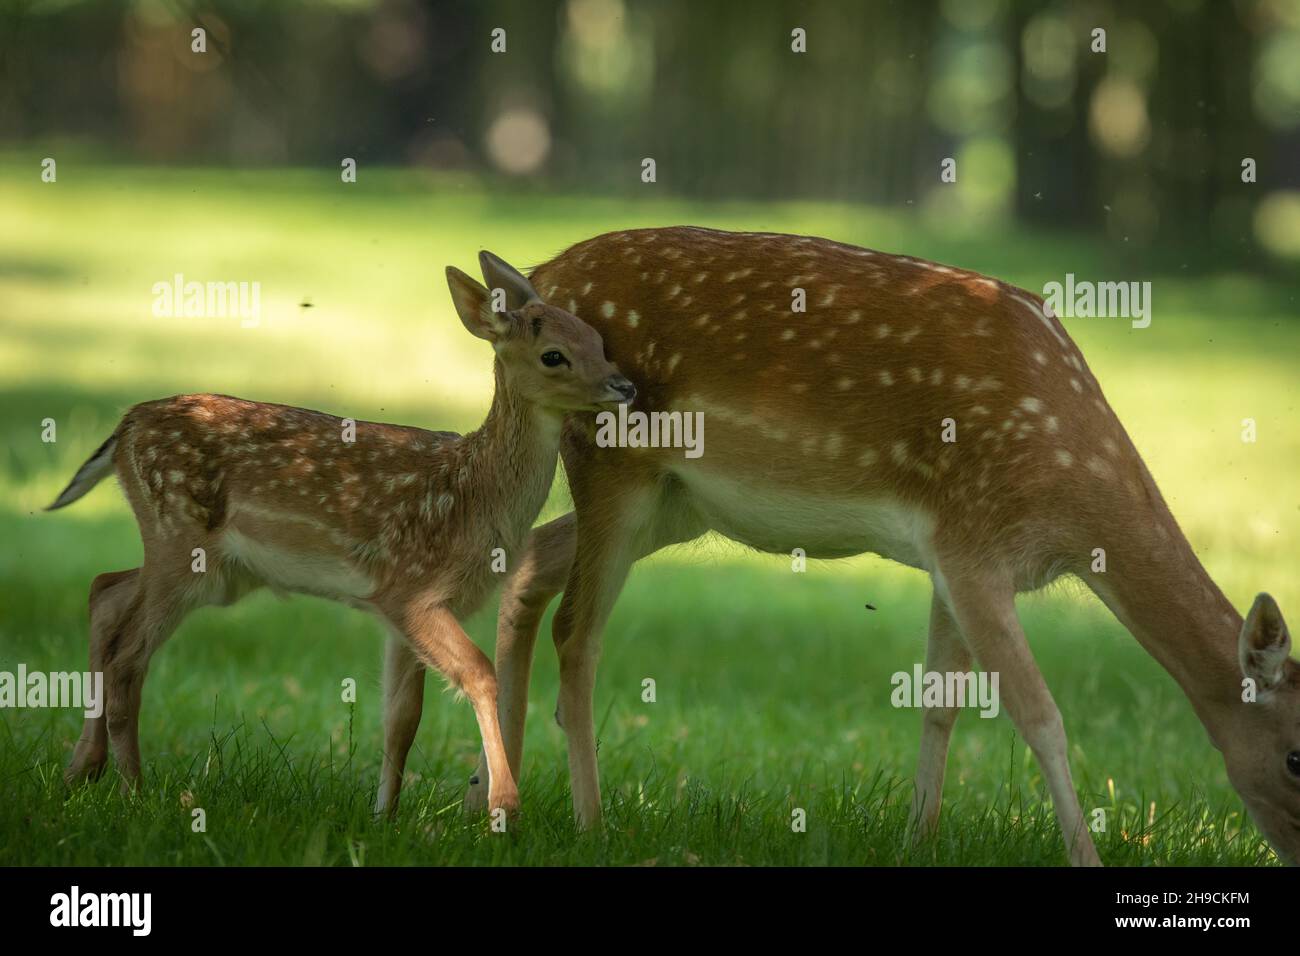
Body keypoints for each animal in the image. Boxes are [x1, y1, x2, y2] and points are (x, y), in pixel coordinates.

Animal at [49, 256, 634, 822]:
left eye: (596, 338)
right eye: (554, 355)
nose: (624, 385)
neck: (473, 495)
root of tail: (124, 428)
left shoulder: (398, 609)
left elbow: (402, 717)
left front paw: (384, 817)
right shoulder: (410, 589)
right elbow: (479, 674)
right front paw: (503, 805)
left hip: (212, 567)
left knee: (106, 591)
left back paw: (83, 769)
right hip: (181, 539)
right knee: (128, 652)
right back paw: (133, 791)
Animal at [467, 226, 1300, 868]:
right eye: (1295, 755)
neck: (1072, 491)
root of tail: (538, 278)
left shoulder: (950, 556)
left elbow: (941, 699)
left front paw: (918, 838)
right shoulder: (973, 543)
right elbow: (1039, 713)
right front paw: (1085, 858)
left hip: (675, 506)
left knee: (531, 565)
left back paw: (493, 802)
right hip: (614, 463)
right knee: (578, 630)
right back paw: (589, 824)